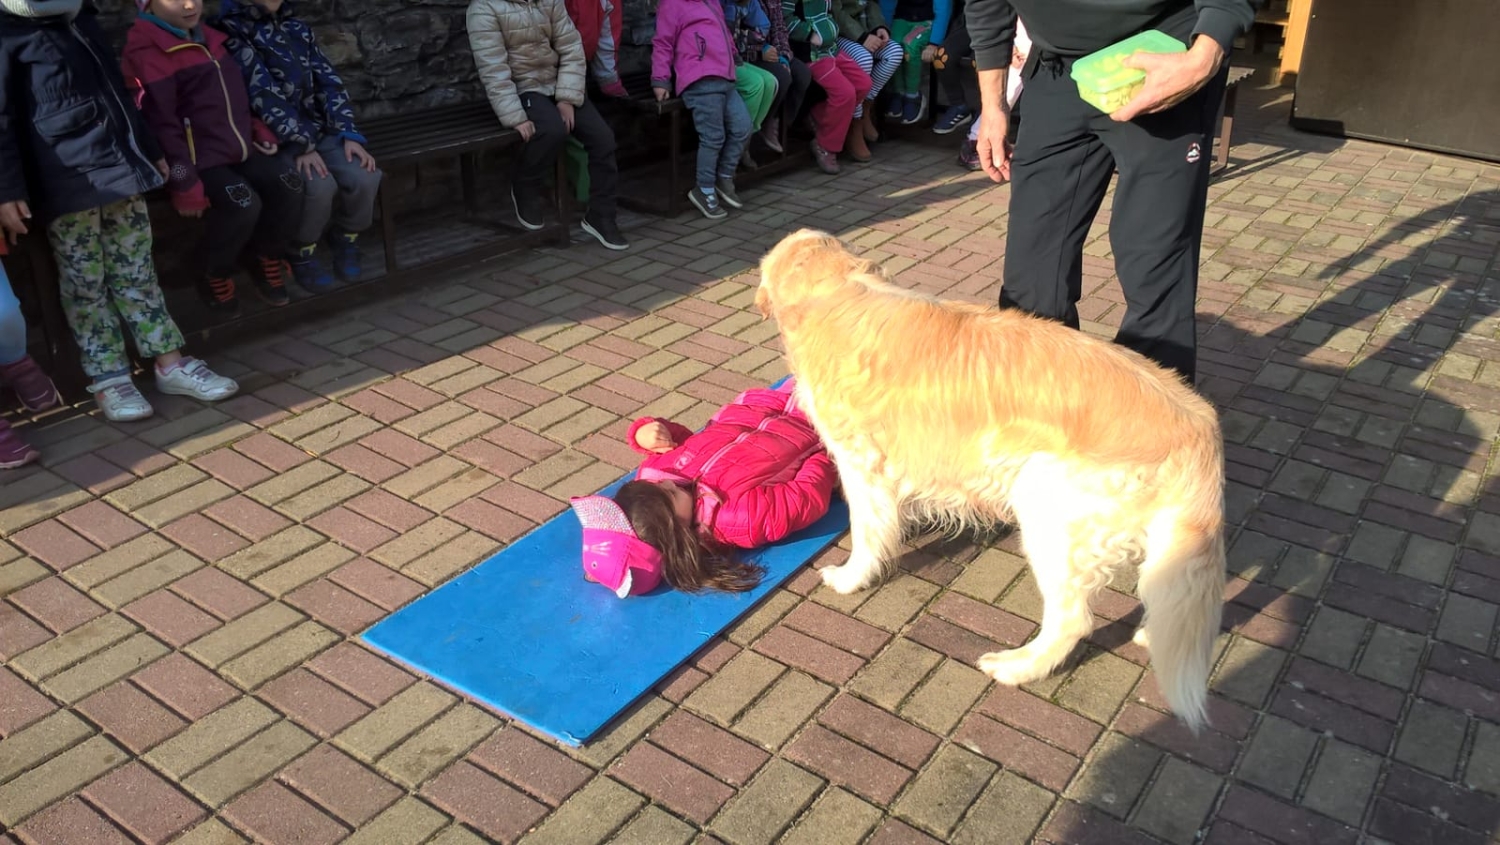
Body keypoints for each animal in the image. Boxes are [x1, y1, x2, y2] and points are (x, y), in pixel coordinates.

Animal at [755, 229, 1227, 732]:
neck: (839, 290)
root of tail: (1199, 425)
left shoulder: (861, 464)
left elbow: (867, 534)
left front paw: (849, 578)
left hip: (1048, 507)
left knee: (1072, 620)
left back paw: (1018, 666)